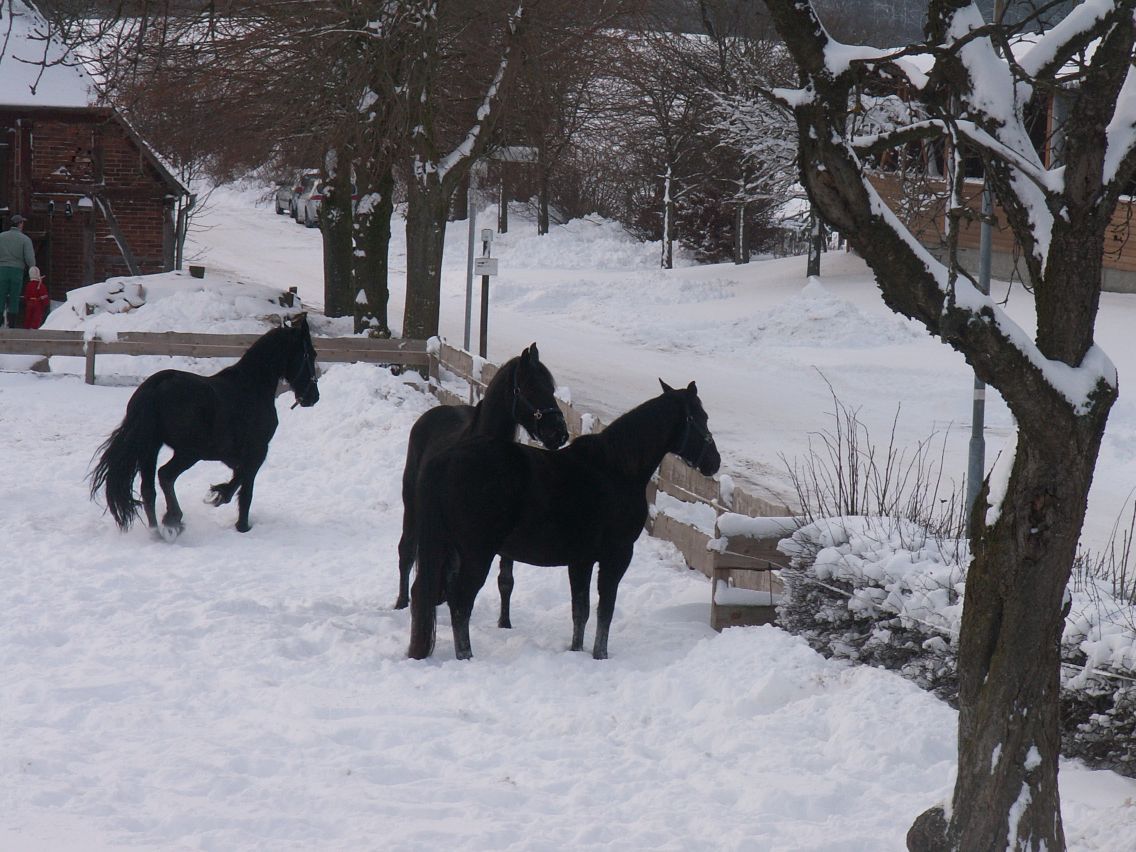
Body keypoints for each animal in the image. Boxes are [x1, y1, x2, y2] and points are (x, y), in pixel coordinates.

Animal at [86, 313, 320, 540]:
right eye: (311, 354)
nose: (313, 397)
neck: (252, 386)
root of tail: (156, 387)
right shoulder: (257, 450)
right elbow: (245, 486)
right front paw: (236, 517)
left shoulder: (231, 455)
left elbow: (239, 476)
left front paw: (221, 496)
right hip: (188, 452)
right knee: (165, 475)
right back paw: (173, 520)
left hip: (150, 448)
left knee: (148, 489)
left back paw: (156, 532)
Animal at [395, 343, 568, 622]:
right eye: (529, 388)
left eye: (551, 390)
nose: (559, 433)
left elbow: (506, 579)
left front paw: (505, 623)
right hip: (411, 505)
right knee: (407, 552)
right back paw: (401, 602)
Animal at [408, 377, 717, 663]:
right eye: (700, 417)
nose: (714, 461)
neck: (616, 469)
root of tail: (445, 460)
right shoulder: (616, 556)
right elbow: (605, 609)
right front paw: (600, 655)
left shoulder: (581, 560)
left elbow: (580, 611)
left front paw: (576, 651)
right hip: (476, 554)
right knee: (461, 604)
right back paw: (466, 656)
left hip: (452, 551)